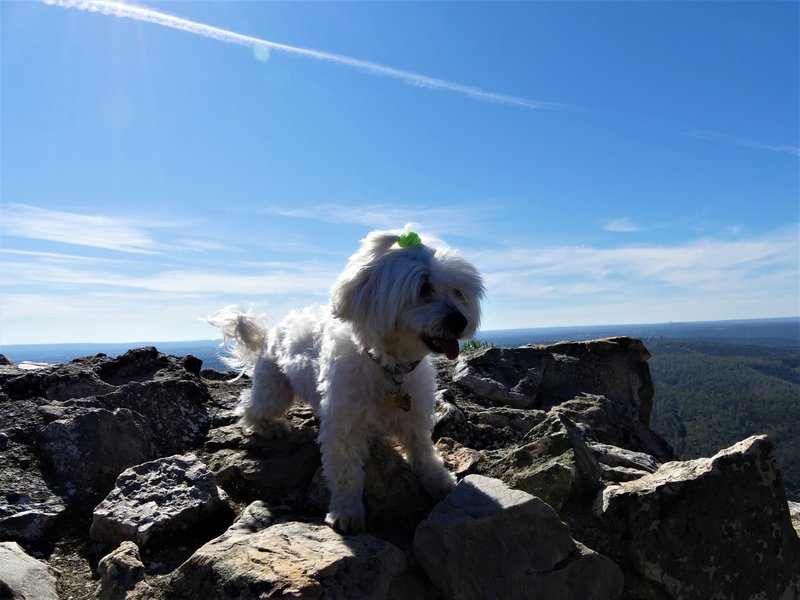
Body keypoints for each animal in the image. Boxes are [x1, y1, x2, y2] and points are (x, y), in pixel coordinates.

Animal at [206, 230, 482, 536]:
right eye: (423, 288)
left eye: (458, 292)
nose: (460, 320)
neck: (388, 365)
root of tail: (272, 331)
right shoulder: (344, 427)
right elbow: (345, 472)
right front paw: (346, 511)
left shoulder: (414, 416)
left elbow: (422, 451)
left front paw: (437, 480)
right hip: (274, 389)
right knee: (250, 406)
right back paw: (268, 426)